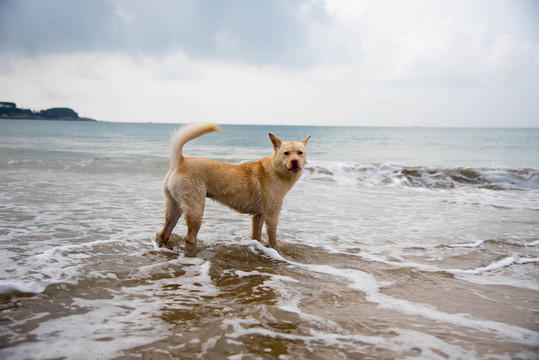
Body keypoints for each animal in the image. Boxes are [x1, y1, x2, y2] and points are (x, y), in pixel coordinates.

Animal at [158, 124, 310, 250]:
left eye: (300, 153)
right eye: (286, 153)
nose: (295, 161)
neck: (275, 170)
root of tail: (180, 161)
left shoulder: (258, 216)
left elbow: (257, 237)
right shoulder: (271, 216)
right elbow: (273, 240)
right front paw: (276, 250)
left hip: (174, 207)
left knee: (164, 233)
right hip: (196, 209)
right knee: (190, 238)